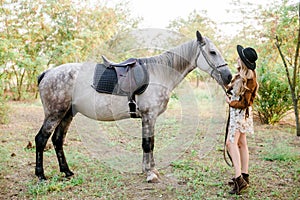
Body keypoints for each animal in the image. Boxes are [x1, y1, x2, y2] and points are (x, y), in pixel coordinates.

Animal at [35, 30, 232, 183]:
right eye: (212, 52)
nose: (228, 76)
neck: (159, 74)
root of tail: (48, 73)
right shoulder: (148, 115)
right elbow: (147, 144)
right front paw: (150, 174)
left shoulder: (149, 117)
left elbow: (149, 143)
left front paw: (149, 170)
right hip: (54, 114)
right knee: (41, 139)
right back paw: (41, 175)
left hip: (67, 113)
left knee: (57, 140)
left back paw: (67, 171)